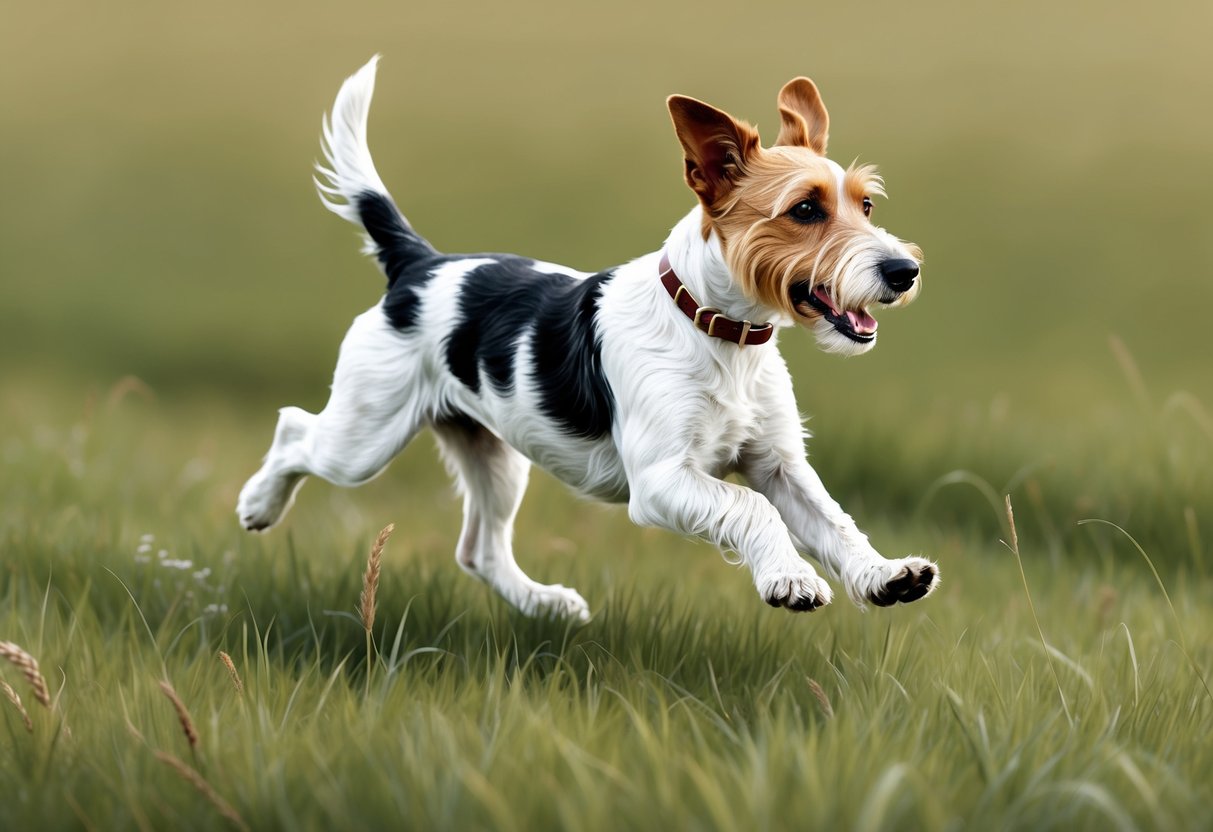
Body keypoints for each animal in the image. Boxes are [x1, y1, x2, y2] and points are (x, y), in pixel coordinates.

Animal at [236, 57, 936, 618]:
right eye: (805, 210)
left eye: (865, 206)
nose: (904, 272)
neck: (718, 330)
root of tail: (419, 263)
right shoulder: (661, 480)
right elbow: (751, 508)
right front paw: (791, 580)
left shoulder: (778, 463)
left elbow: (834, 520)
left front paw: (885, 575)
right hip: (366, 433)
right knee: (295, 429)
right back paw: (257, 504)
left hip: (492, 453)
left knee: (479, 550)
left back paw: (544, 605)